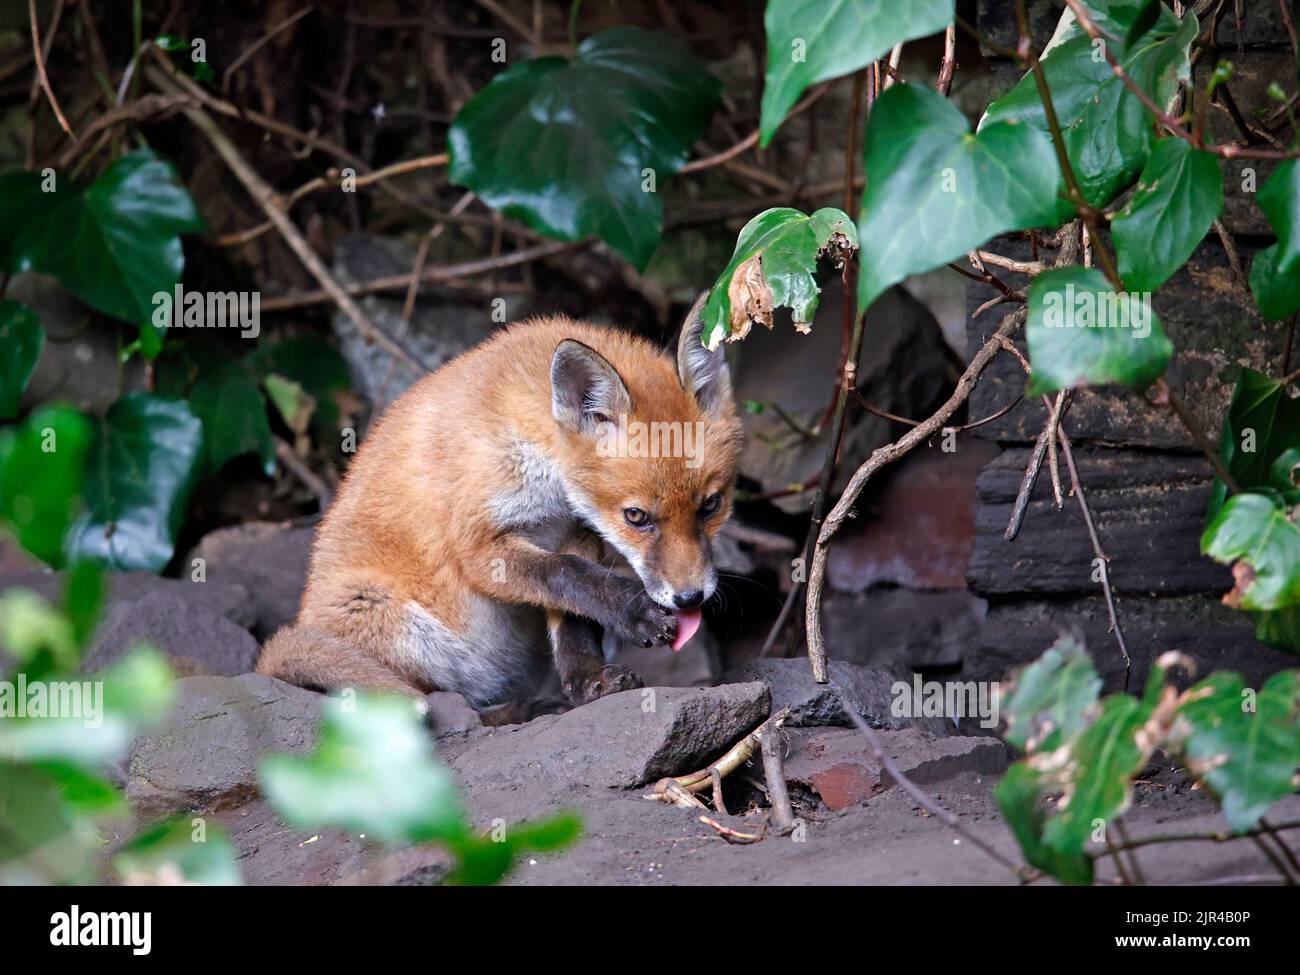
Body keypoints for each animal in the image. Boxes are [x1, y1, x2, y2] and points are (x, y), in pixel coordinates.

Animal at [256, 300, 743, 711]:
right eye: (636, 517)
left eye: (711, 505)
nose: (690, 597)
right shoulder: (476, 546)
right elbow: (566, 574)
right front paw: (635, 613)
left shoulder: (575, 531)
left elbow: (575, 614)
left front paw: (587, 682)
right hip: (391, 620)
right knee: (433, 708)